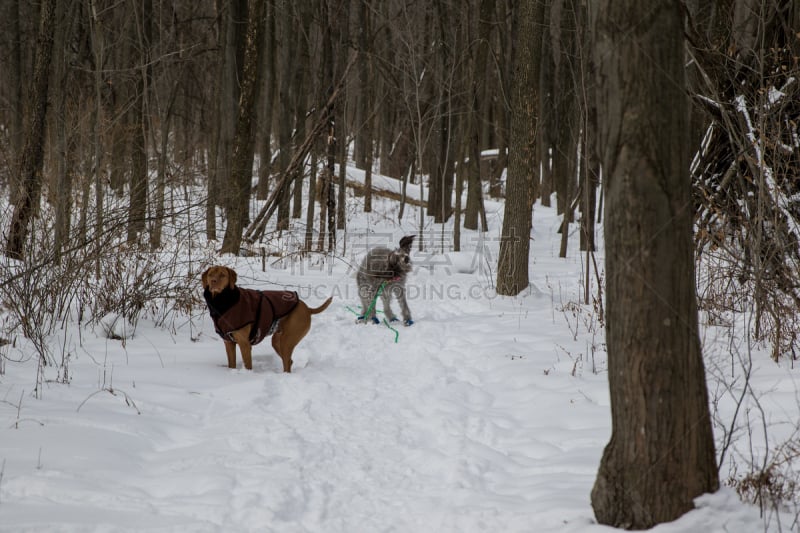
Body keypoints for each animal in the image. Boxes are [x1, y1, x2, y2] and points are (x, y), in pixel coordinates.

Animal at [206, 264, 334, 370]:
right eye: (210, 274)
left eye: (222, 275)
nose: (213, 281)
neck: (226, 303)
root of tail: (307, 308)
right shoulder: (228, 342)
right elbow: (231, 364)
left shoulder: (244, 344)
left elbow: (248, 365)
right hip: (277, 341)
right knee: (289, 361)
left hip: (287, 340)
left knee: (287, 362)